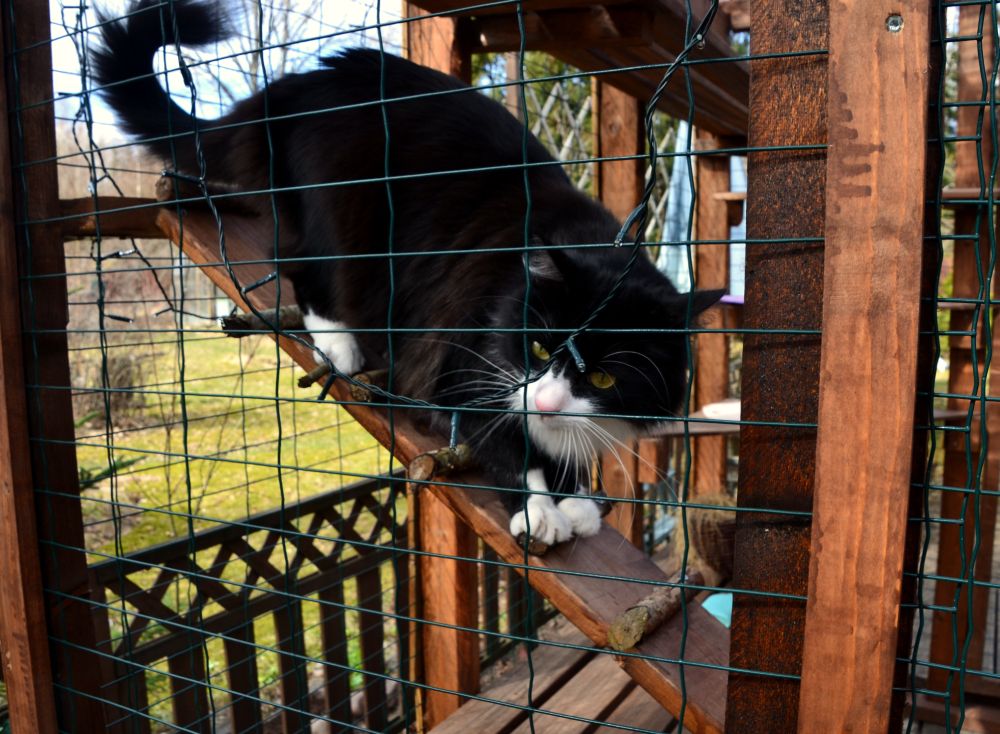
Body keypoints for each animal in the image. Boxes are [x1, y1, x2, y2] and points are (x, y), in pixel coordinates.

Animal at [92, 1, 720, 552]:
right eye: (540, 346)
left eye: (605, 378)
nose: (545, 402)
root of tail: (295, 87)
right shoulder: (459, 362)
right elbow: (502, 442)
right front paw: (540, 509)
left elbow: (554, 445)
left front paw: (576, 501)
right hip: (341, 210)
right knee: (304, 270)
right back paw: (342, 348)